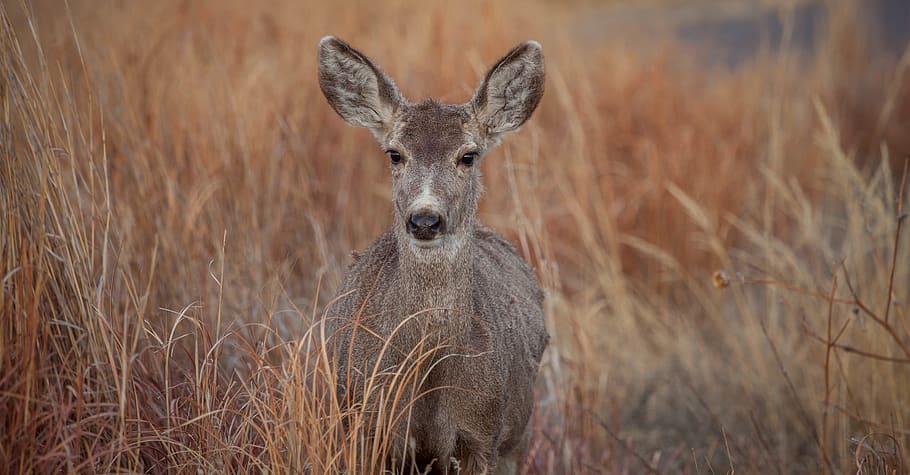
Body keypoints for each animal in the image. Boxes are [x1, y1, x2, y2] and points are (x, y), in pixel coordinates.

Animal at [317, 36, 549, 475]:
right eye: (394, 153)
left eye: (468, 155)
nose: (425, 219)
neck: (428, 367)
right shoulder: (369, 426)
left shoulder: (482, 435)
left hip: (519, 437)